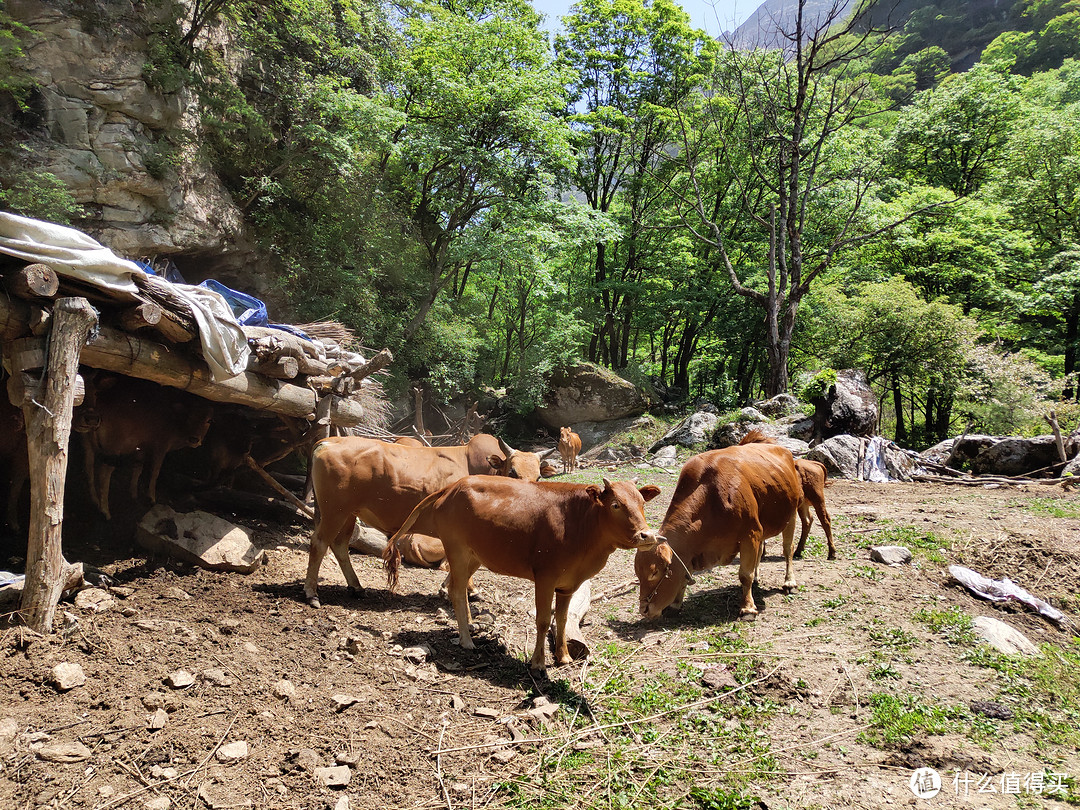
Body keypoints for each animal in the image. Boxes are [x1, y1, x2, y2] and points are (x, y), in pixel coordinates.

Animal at [304, 434, 540, 604]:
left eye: (538, 476)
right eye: (512, 472)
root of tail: (328, 441)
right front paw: (467, 590)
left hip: (348, 514)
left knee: (340, 545)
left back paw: (356, 587)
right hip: (335, 511)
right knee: (319, 542)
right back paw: (311, 593)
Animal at [384, 475, 660, 673]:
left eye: (642, 504)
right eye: (615, 504)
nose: (647, 535)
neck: (581, 525)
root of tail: (451, 487)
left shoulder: (567, 584)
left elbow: (562, 619)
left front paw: (563, 656)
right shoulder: (545, 577)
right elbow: (543, 620)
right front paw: (538, 663)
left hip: (475, 555)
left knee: (455, 587)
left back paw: (470, 626)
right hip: (457, 550)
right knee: (457, 590)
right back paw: (466, 640)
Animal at [630, 434, 803, 626]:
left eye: (654, 572)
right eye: (638, 573)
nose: (644, 610)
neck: (711, 496)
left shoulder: (750, 534)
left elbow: (745, 575)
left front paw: (748, 608)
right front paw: (676, 604)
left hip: (791, 514)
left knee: (787, 549)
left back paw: (789, 582)